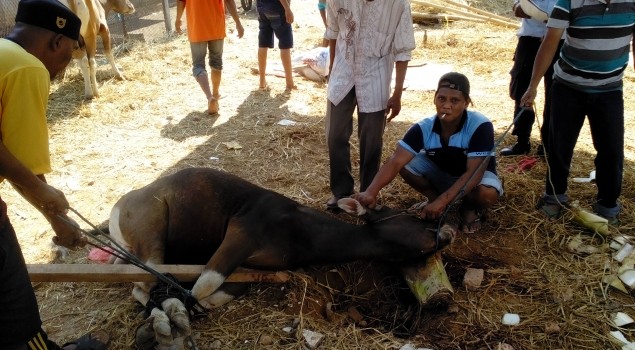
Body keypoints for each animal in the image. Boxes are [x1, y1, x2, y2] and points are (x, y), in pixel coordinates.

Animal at [105, 168, 458, 346]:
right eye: (415, 218)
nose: (448, 231)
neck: (302, 232)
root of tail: (122, 203)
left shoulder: (249, 267)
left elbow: (210, 295)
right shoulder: (239, 237)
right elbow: (201, 286)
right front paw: (172, 314)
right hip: (153, 240)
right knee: (143, 284)